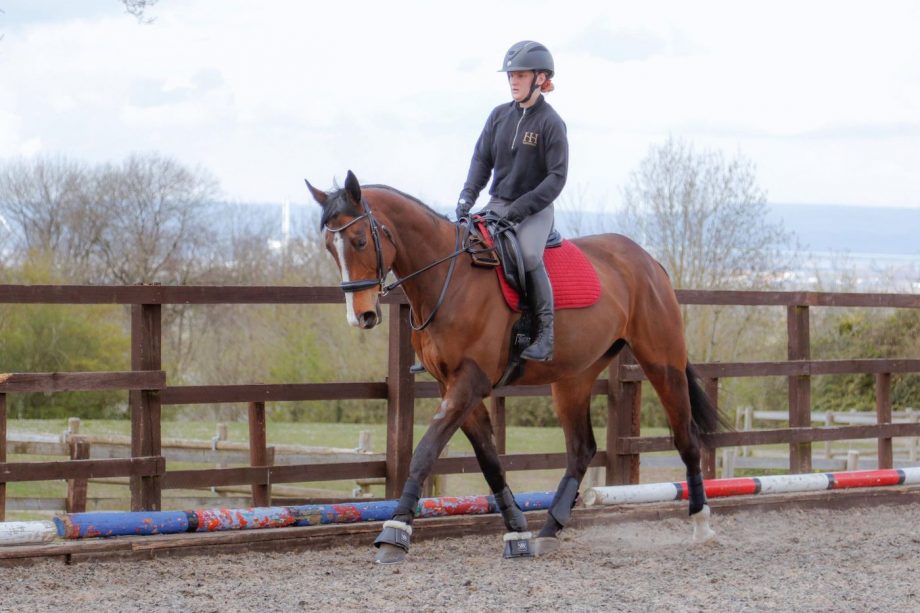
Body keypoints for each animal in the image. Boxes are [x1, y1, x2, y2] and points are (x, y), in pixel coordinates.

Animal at [306, 170, 724, 560]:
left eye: (360, 240)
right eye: (329, 246)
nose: (361, 316)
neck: (448, 279)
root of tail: (649, 261)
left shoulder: (469, 382)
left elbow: (425, 451)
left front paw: (395, 533)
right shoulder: (453, 385)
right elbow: (489, 459)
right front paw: (517, 532)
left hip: (661, 361)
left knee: (686, 437)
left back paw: (702, 525)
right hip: (574, 378)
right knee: (581, 449)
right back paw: (549, 531)